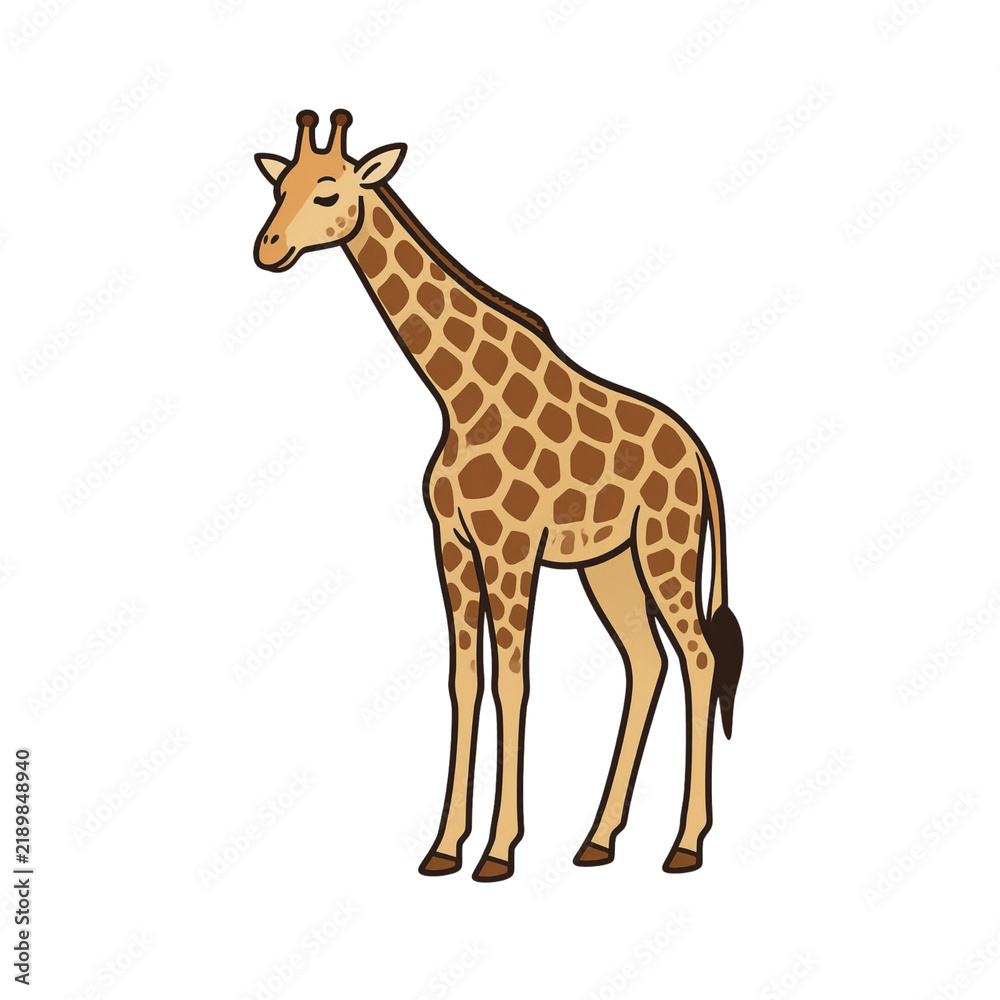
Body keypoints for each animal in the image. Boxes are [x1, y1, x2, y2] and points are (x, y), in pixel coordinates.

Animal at [253, 110, 744, 882]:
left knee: (699, 658)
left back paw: (685, 845)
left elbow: (514, 681)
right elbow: (465, 681)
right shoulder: (452, 544)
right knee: (647, 662)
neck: (457, 396)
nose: (267, 249)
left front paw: (497, 851)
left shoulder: (511, 548)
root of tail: (699, 453)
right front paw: (443, 846)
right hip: (610, 563)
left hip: (668, 545)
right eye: (280, 187)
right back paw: (597, 839)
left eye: (328, 191)